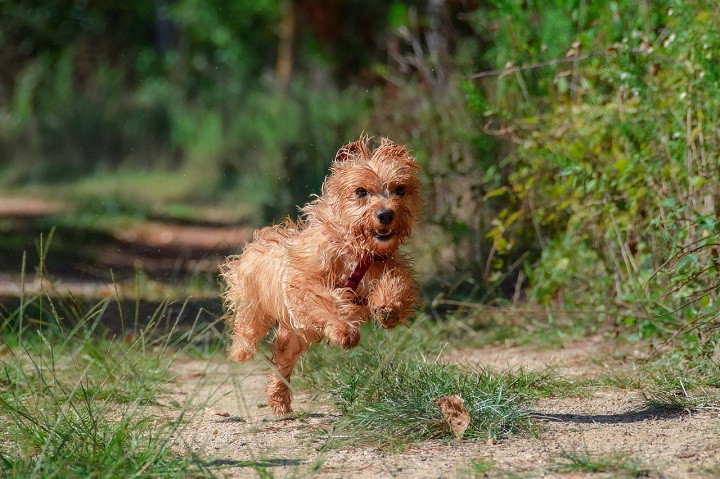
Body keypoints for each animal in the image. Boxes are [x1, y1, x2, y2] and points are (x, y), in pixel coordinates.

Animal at [222, 136, 420, 416]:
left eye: (399, 189)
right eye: (361, 191)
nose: (385, 214)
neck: (355, 249)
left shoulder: (383, 266)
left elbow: (397, 280)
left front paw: (388, 308)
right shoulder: (307, 283)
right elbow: (326, 302)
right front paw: (344, 332)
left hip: (293, 336)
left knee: (281, 364)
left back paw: (279, 399)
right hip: (254, 304)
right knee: (248, 326)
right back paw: (241, 350)